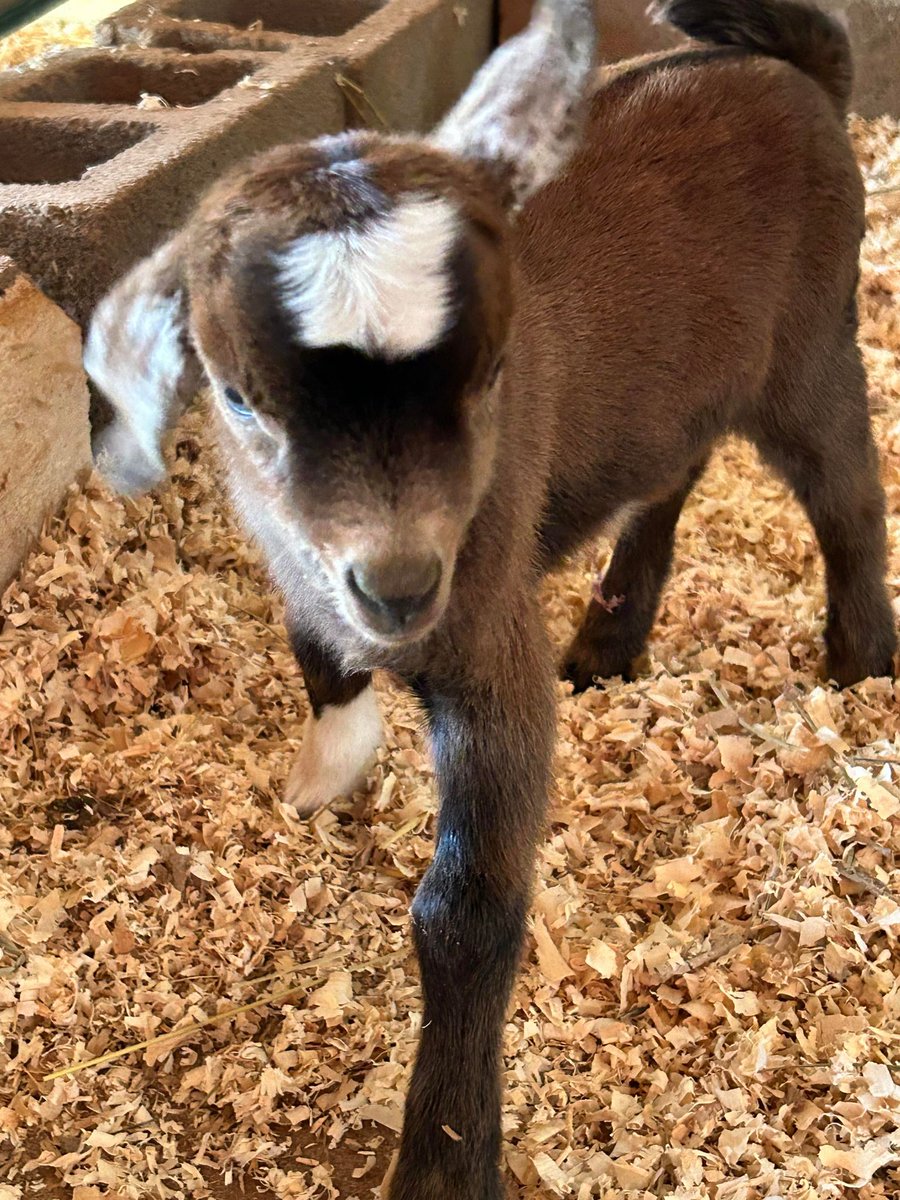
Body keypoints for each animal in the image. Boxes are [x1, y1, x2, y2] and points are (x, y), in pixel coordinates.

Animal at [84, 0, 897, 1193]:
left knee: (847, 489)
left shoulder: (490, 641)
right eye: (236, 396)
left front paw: (446, 1152)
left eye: (489, 374)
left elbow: (462, 911)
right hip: (684, 387)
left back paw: (859, 657)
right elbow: (316, 654)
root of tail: (795, 69)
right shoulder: (298, 567)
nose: (401, 584)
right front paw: (327, 769)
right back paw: (612, 638)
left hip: (808, 347)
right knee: (673, 473)